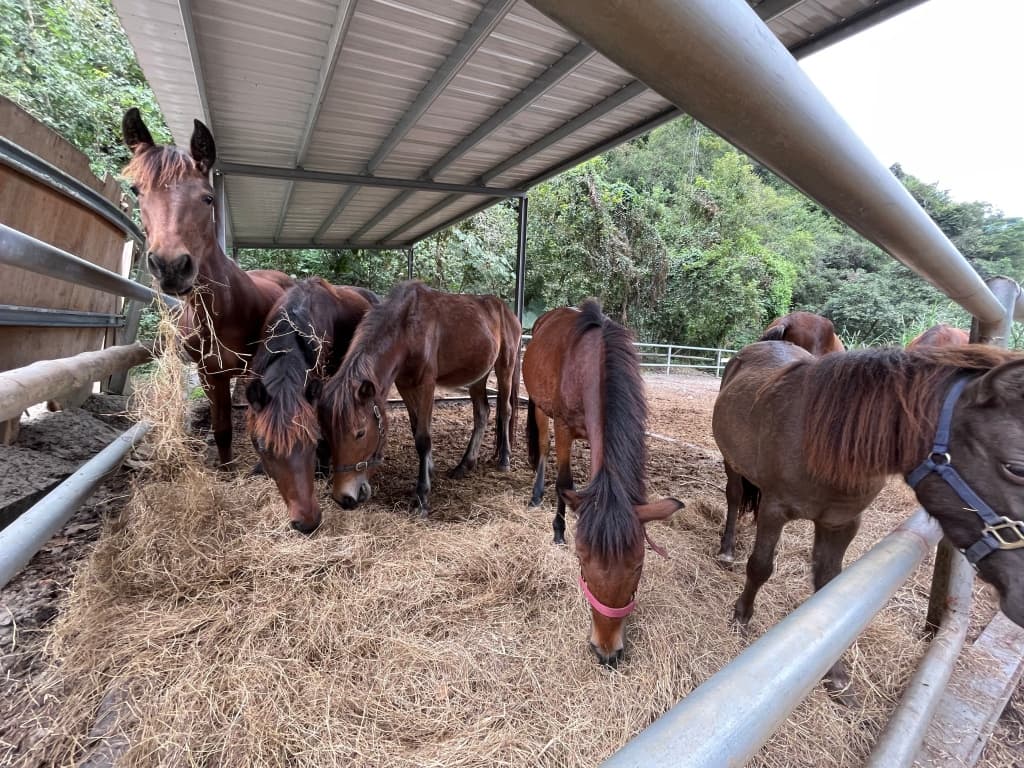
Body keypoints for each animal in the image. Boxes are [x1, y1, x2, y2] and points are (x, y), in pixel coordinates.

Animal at [122, 108, 293, 467]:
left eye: (207, 198)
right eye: (136, 190)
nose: (171, 266)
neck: (224, 311)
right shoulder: (208, 374)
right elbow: (222, 429)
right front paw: (226, 467)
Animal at [320, 281, 522, 515]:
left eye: (360, 433)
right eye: (328, 433)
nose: (344, 498)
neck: (407, 330)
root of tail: (507, 311)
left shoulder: (426, 385)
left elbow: (423, 438)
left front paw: (422, 496)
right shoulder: (404, 385)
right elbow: (416, 428)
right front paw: (430, 471)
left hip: (505, 366)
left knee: (505, 410)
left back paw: (504, 459)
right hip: (478, 375)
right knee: (482, 412)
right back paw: (464, 465)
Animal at [523, 301, 683, 667]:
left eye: (639, 565)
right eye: (581, 561)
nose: (606, 650)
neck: (590, 366)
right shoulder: (565, 427)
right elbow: (564, 483)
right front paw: (558, 531)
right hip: (539, 407)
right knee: (542, 447)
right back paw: (536, 495)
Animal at [713, 340, 1024, 700]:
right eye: (1016, 467)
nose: (1022, 595)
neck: (820, 441)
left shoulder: (841, 523)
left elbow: (830, 590)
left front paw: (835, 675)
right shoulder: (775, 510)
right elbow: (760, 566)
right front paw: (741, 618)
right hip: (732, 463)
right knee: (735, 497)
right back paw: (727, 550)